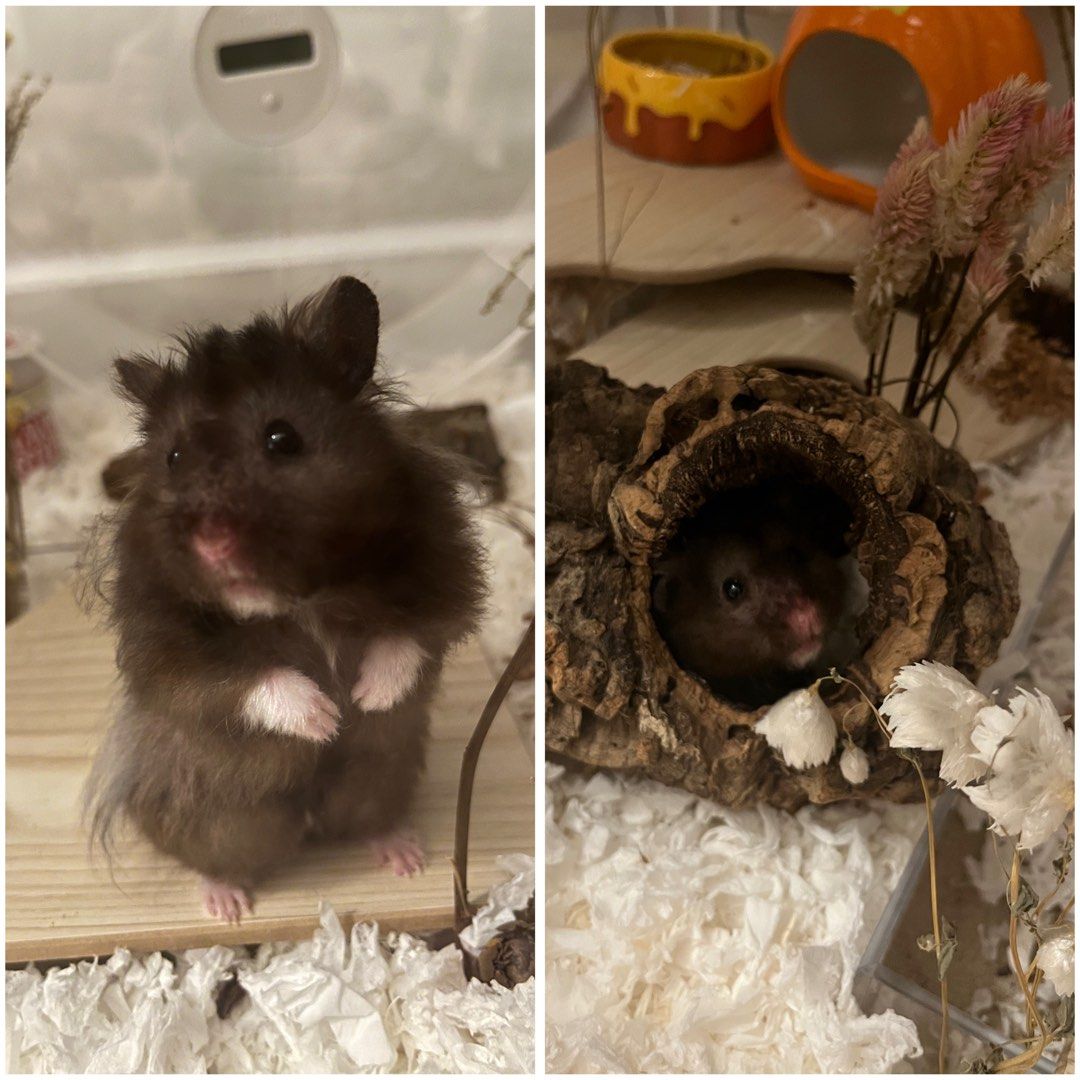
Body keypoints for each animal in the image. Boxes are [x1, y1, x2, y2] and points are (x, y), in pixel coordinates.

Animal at [84, 276, 486, 922]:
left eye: (282, 438)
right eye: (173, 457)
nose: (213, 541)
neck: (299, 600)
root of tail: (310, 817)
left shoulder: (447, 570)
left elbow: (411, 633)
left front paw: (366, 698)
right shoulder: (159, 642)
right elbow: (235, 679)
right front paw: (323, 718)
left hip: (381, 776)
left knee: (366, 817)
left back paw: (404, 858)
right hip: (220, 819)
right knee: (222, 856)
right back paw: (226, 905)